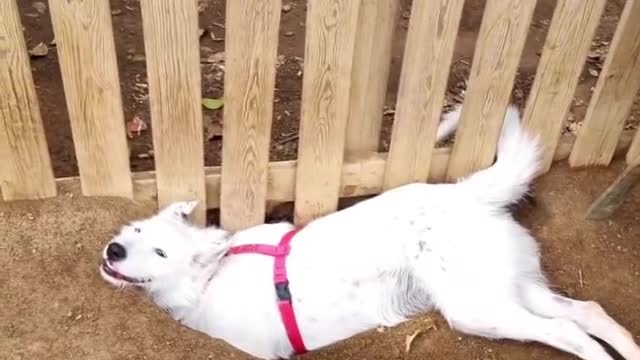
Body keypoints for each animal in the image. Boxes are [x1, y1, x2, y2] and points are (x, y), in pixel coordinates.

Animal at [100, 108, 640, 360]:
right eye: (134, 229)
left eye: (160, 251)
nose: (114, 249)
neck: (209, 277)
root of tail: (470, 192)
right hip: (510, 289)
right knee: (586, 311)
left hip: (478, 309)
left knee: (568, 330)